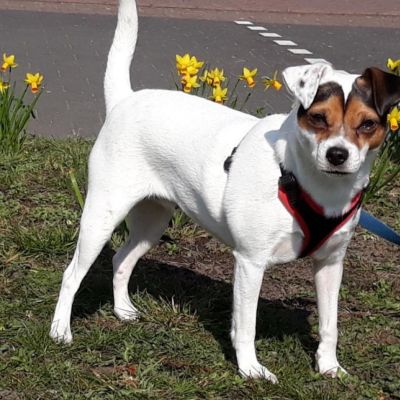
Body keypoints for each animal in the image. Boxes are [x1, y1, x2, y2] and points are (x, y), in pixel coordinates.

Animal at [50, 0, 400, 383]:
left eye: (367, 124)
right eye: (319, 118)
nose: (338, 154)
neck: (303, 179)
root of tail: (125, 100)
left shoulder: (330, 264)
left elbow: (329, 325)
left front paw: (329, 366)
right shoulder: (250, 262)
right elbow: (246, 325)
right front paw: (250, 369)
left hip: (152, 222)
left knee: (121, 260)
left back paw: (122, 310)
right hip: (102, 216)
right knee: (72, 274)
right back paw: (60, 330)